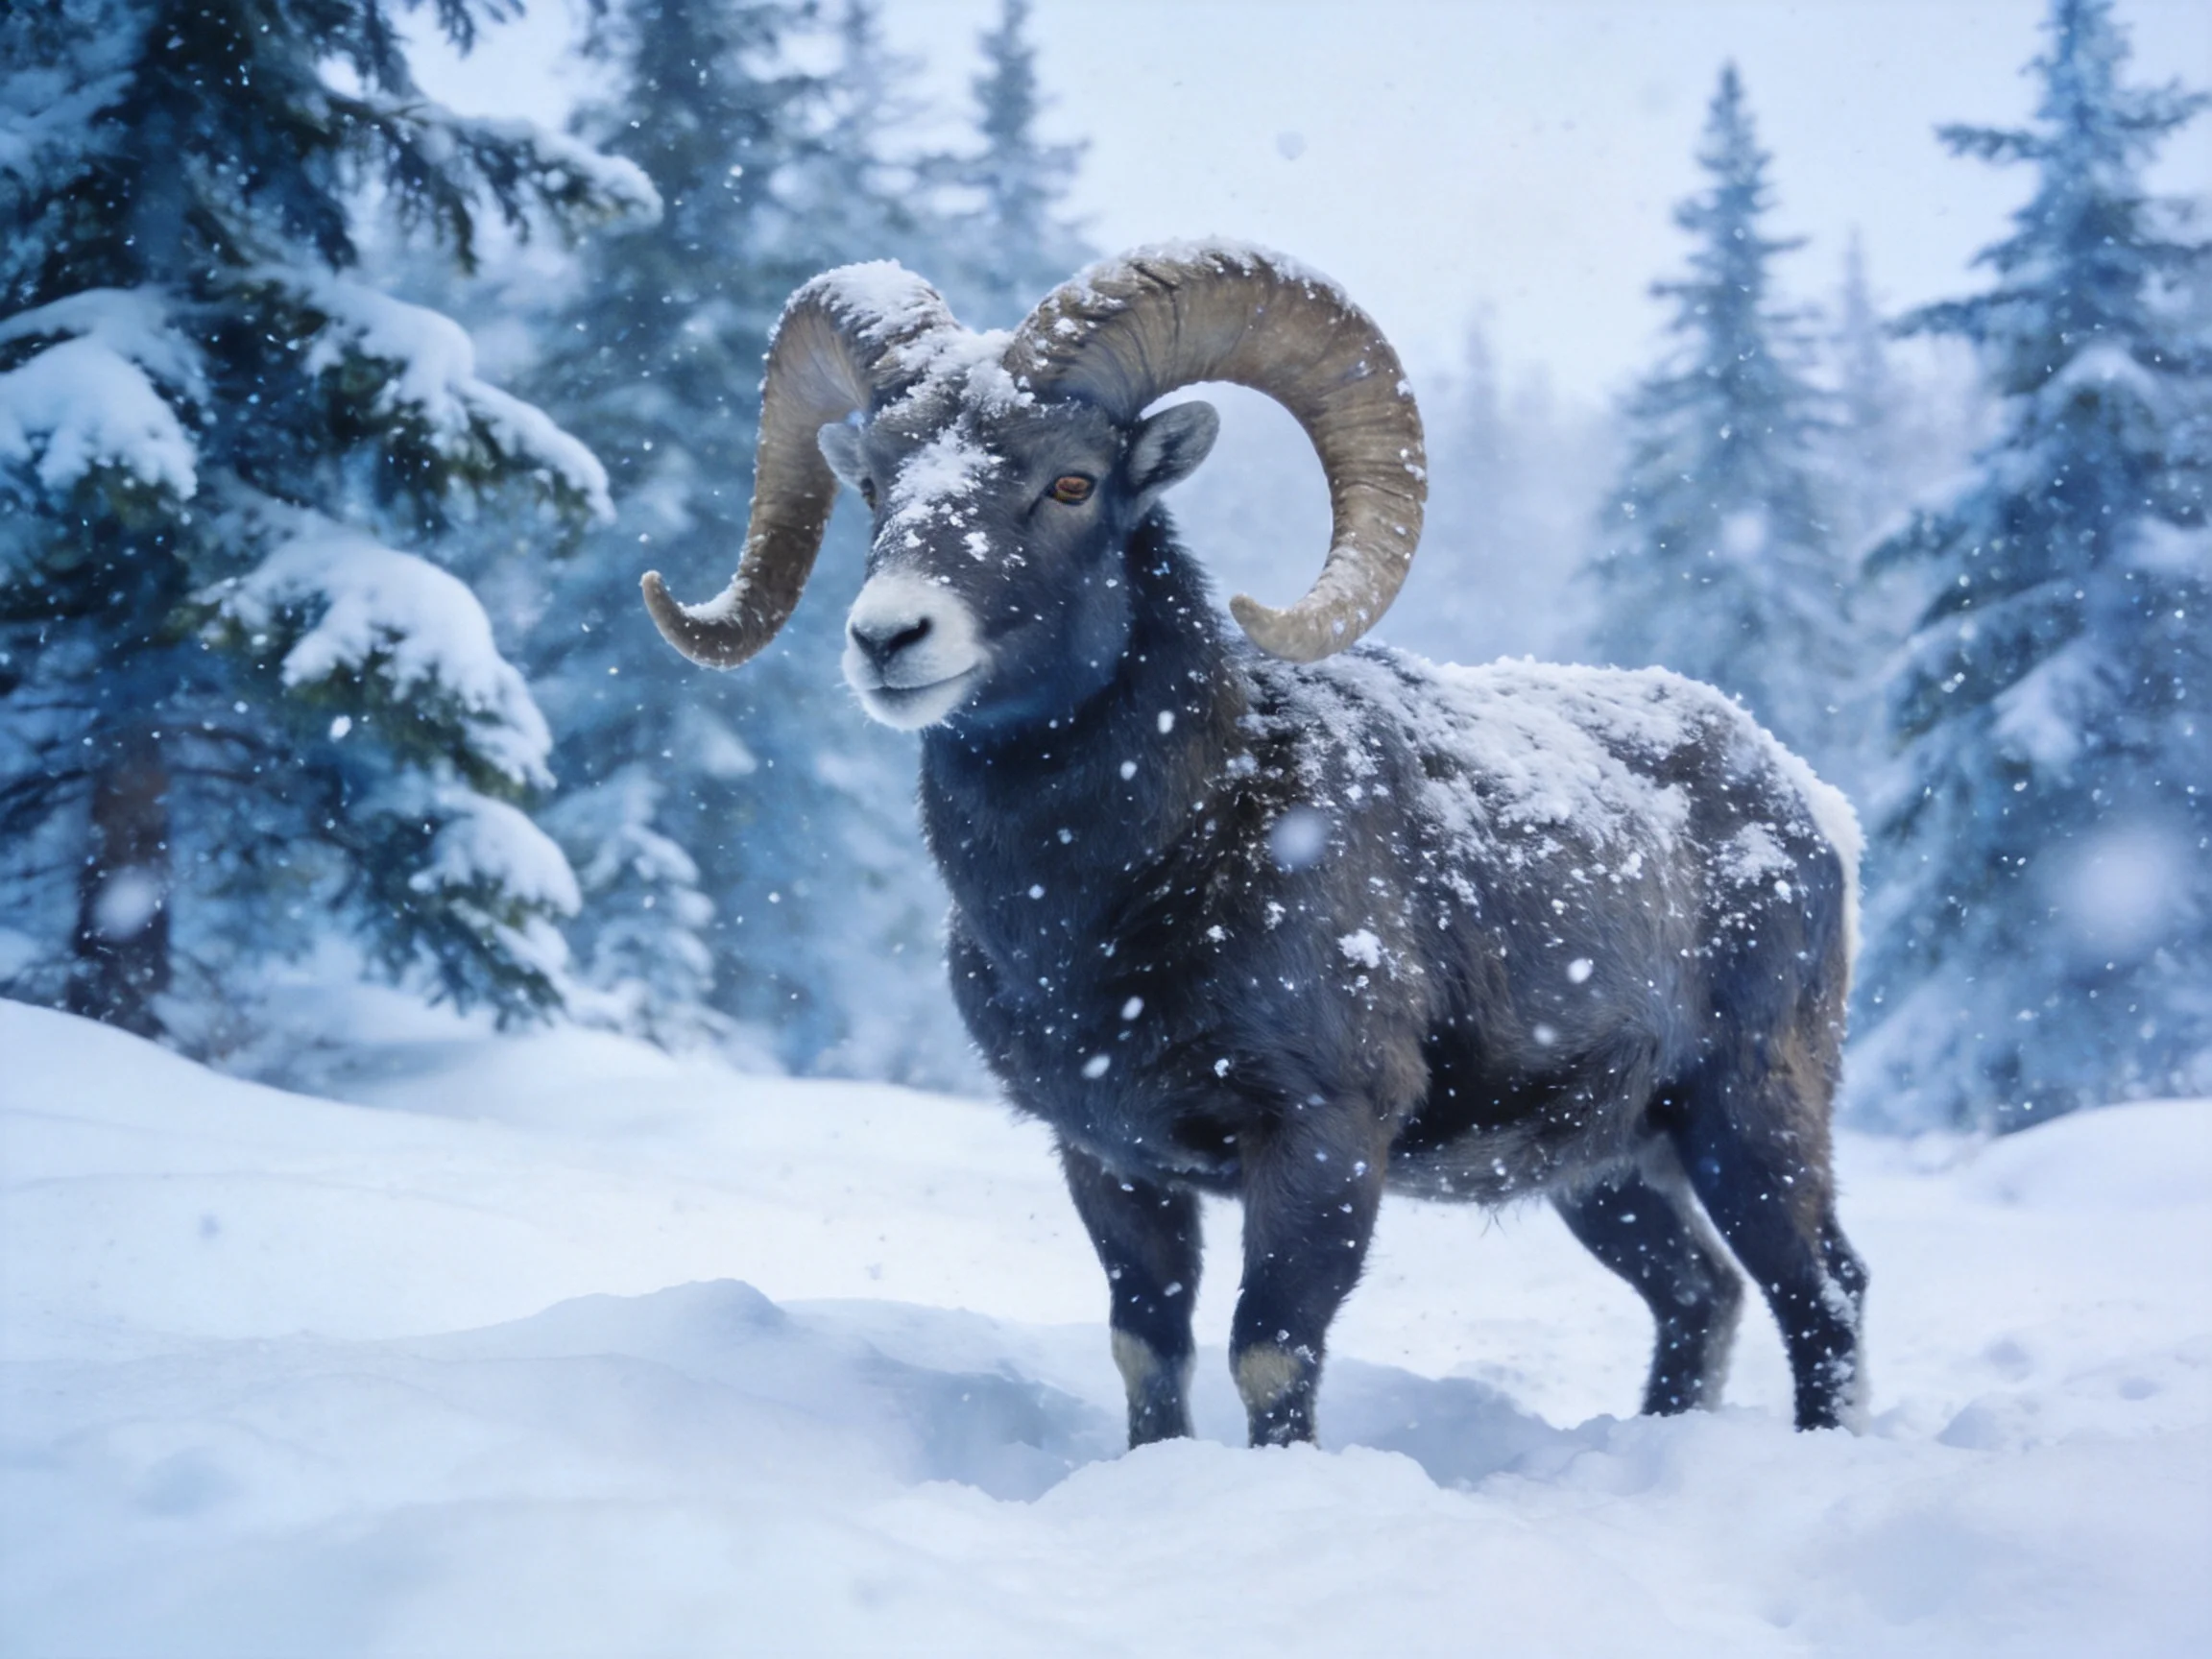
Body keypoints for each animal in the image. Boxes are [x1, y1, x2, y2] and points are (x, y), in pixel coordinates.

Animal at [643, 242, 1868, 1447]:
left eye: (1072, 482)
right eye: (874, 485)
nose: (890, 637)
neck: (1120, 893)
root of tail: (1807, 805)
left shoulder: (1321, 1143)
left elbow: (1271, 1352)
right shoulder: (1110, 1160)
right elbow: (1149, 1349)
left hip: (1750, 1123)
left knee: (1823, 1297)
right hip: (1609, 1175)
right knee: (1701, 1297)